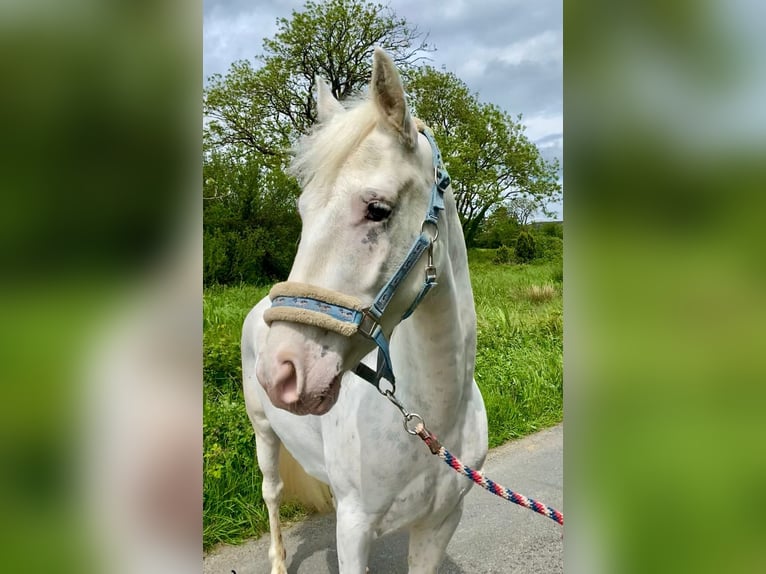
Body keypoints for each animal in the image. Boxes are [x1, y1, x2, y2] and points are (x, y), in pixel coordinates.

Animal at [243, 47, 488, 572]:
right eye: (303, 212)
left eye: (377, 209)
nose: (281, 371)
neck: (431, 418)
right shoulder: (354, 530)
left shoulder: (441, 524)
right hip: (263, 432)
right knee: (272, 493)